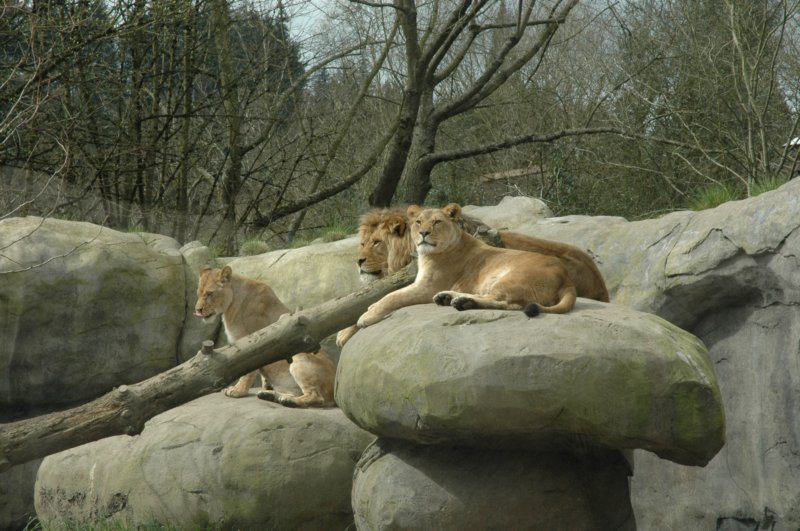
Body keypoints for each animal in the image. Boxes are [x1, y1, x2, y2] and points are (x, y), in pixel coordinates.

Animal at [195, 265, 336, 408]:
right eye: (198, 294)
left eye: (209, 293)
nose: (198, 310)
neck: (231, 304)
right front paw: (265, 387)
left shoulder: (250, 342)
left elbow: (248, 370)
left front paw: (238, 390)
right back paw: (270, 395)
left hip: (299, 355)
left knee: (316, 397)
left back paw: (289, 401)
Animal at [354, 204, 577, 334]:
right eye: (418, 222)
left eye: (437, 222)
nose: (424, 233)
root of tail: (566, 279)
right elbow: (390, 294)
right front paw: (370, 308)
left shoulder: (427, 287)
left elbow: (393, 296)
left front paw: (367, 316)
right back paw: (449, 298)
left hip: (511, 279)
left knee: (510, 303)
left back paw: (461, 302)